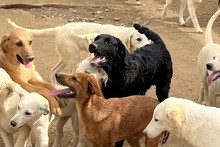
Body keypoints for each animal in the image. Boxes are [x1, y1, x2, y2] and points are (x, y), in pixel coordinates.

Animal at [7, 19, 151, 85]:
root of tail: (59, 29)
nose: (147, 47)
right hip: (73, 59)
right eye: (138, 39)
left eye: (149, 39)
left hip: (64, 59)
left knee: (53, 70)